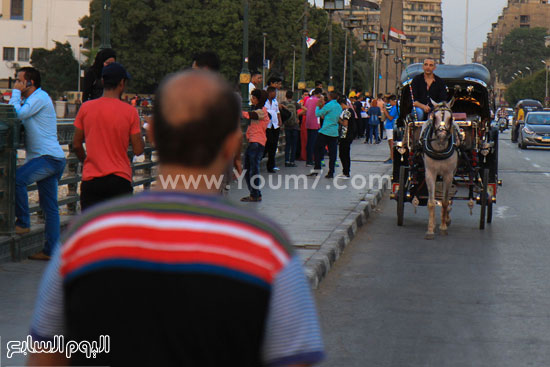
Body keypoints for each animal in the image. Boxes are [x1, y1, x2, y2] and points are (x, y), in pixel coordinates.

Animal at [424, 100, 460, 240]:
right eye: (435, 117)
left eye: (450, 118)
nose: (441, 135)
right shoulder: (430, 173)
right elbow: (431, 202)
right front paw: (430, 229)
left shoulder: (448, 175)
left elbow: (445, 201)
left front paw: (444, 227)